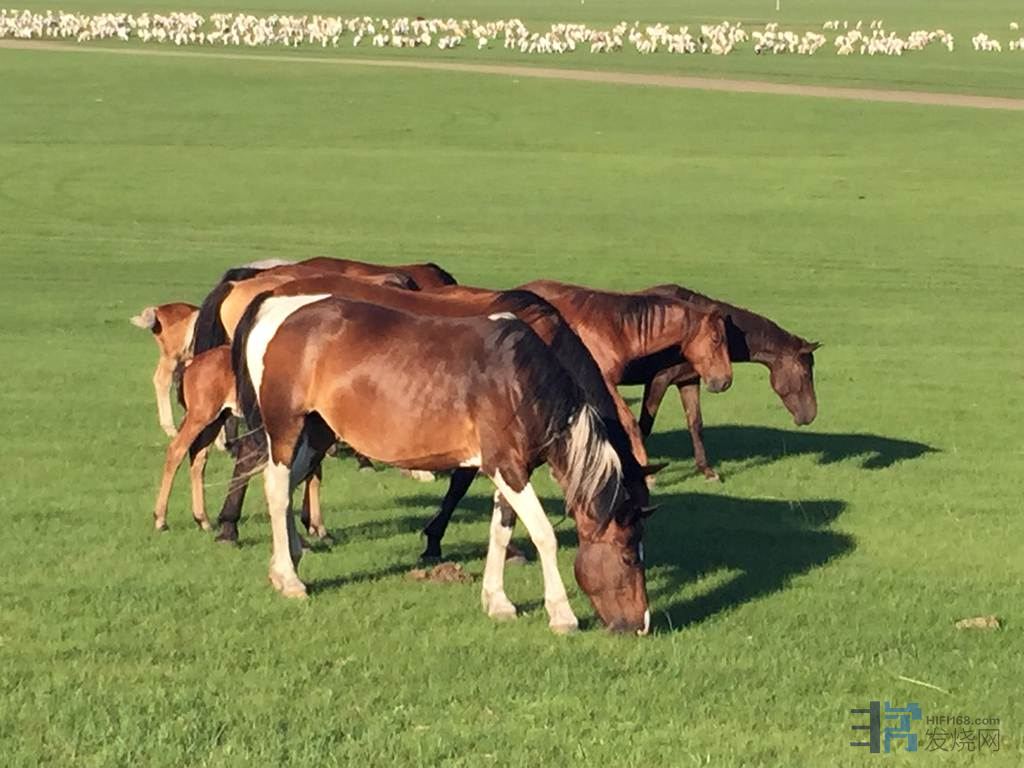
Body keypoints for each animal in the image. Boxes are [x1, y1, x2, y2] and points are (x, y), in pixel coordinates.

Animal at [233, 292, 655, 634]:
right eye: (627, 555)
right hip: (285, 428)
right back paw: (290, 579)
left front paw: (497, 601)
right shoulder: (507, 467)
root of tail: (277, 308)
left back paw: (286, 562)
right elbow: (543, 535)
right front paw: (562, 615)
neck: (522, 379)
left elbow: (501, 532)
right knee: (277, 491)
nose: (641, 626)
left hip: (318, 430)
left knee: (288, 487)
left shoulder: (511, 469)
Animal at [635, 285, 820, 480]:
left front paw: (707, 471)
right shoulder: (658, 381)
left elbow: (695, 424)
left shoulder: (688, 381)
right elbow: (643, 427)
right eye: (805, 373)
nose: (811, 415)